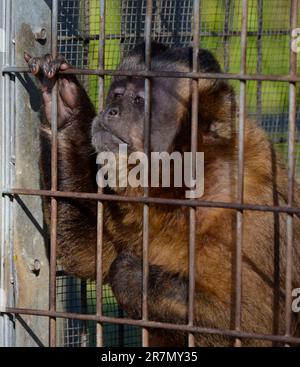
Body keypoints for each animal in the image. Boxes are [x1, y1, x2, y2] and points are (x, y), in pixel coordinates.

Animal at [24, 43, 300, 348]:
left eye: (139, 101)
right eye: (117, 95)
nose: (112, 110)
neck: (192, 181)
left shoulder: (249, 216)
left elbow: (255, 327)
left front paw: (135, 275)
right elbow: (92, 255)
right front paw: (66, 109)